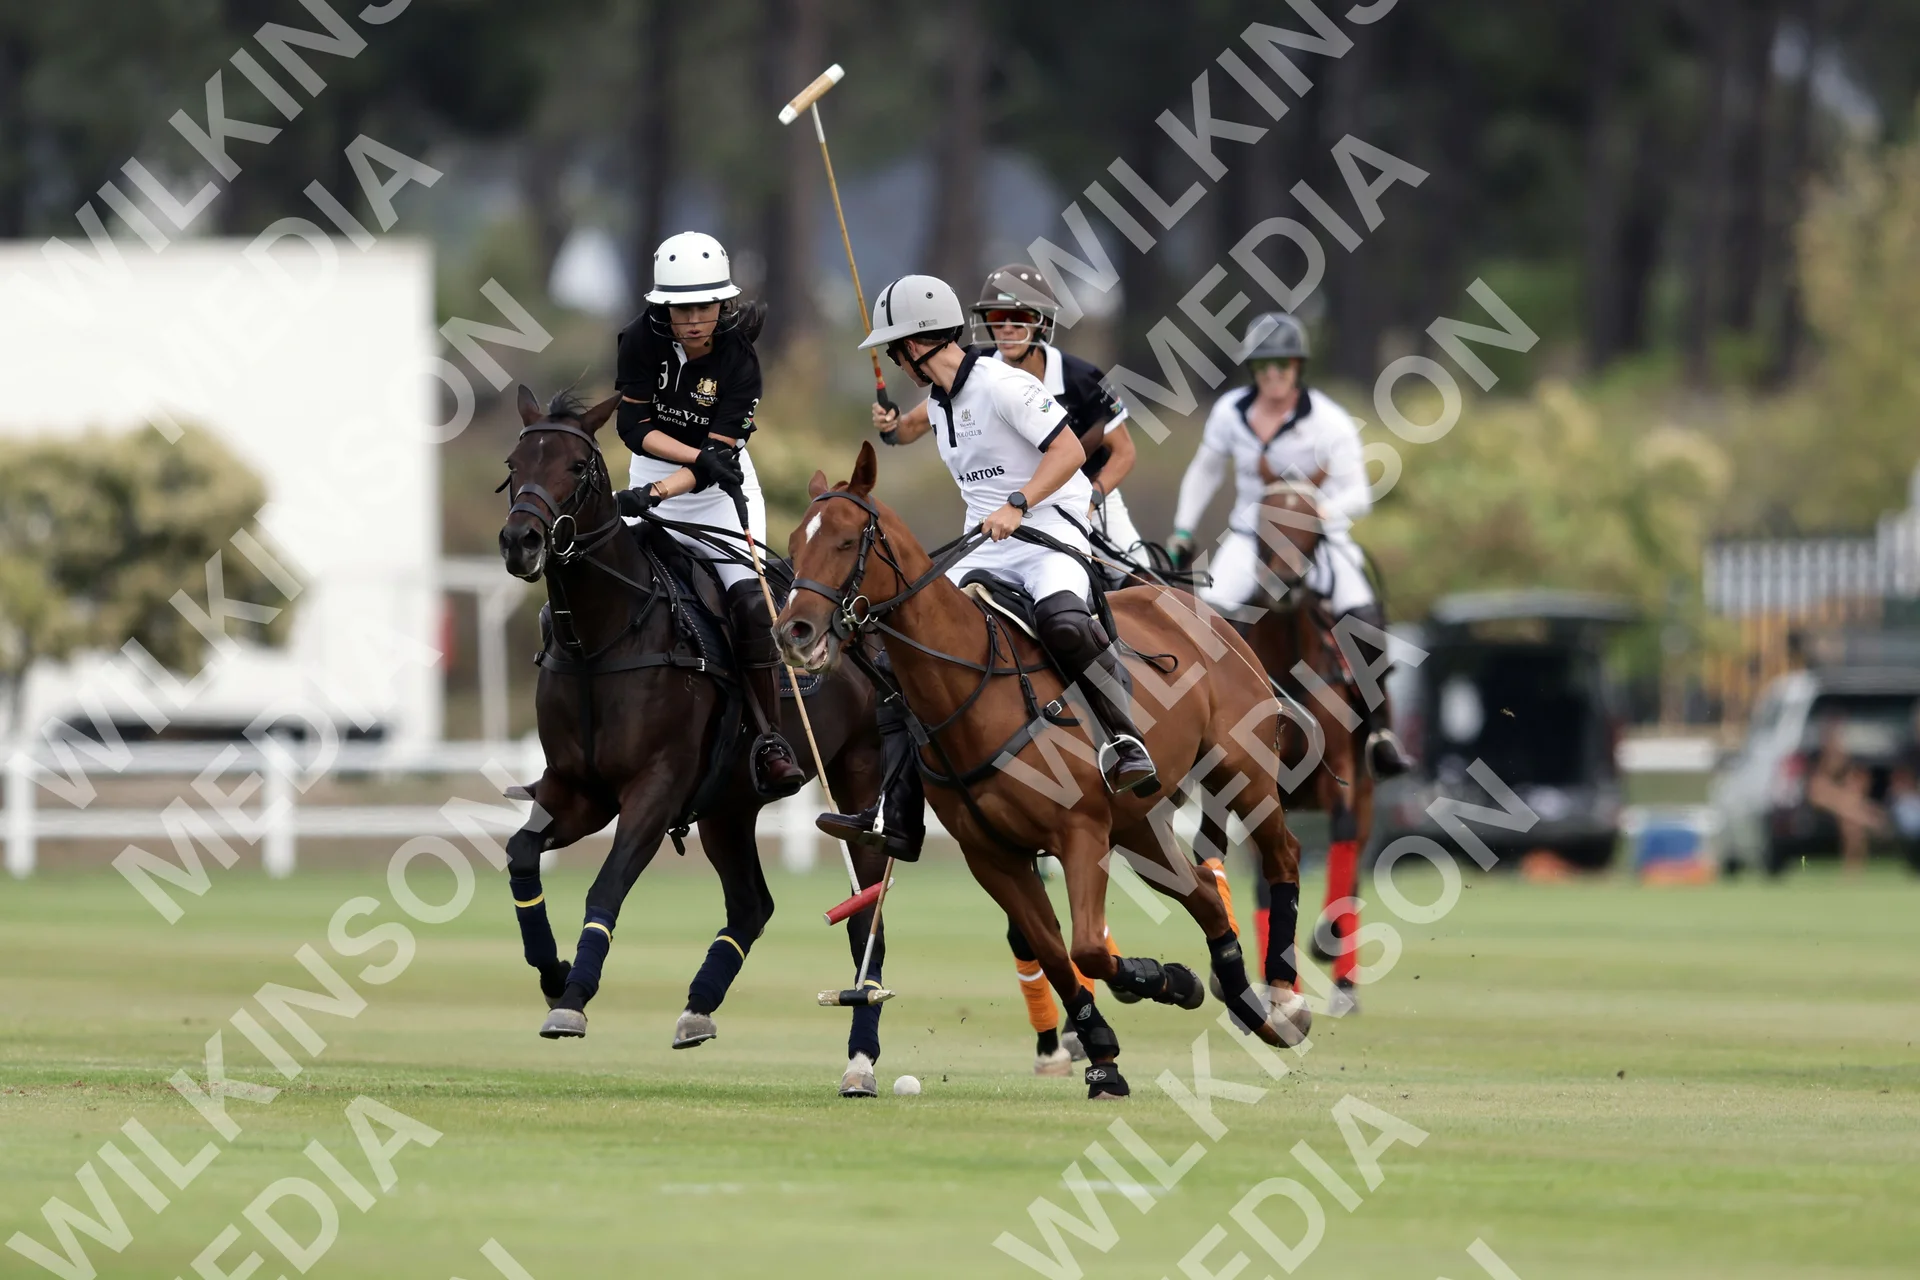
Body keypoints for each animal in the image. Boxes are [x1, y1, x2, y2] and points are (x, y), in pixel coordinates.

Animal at [494, 386, 892, 1088]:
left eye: (578, 465)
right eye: (516, 464)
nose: (521, 540)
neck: (601, 641)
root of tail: (860, 629)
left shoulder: (654, 788)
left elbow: (607, 884)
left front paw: (573, 1000)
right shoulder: (577, 791)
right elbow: (520, 855)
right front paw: (554, 973)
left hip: (858, 780)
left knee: (864, 915)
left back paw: (861, 1060)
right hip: (728, 808)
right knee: (752, 904)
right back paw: (698, 1008)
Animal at [773, 442, 1312, 1101]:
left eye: (848, 541)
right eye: (795, 543)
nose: (794, 632)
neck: (971, 686)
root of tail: (1186, 602)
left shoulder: (1078, 833)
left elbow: (1086, 946)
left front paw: (1151, 983)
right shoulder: (993, 856)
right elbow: (1058, 953)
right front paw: (1116, 1042)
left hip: (1242, 771)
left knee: (1282, 854)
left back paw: (1285, 999)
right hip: (1140, 828)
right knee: (1205, 893)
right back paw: (1242, 1002)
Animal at [1196, 458, 1374, 1012]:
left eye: (1314, 526)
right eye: (1264, 519)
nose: (1288, 581)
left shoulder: (1341, 769)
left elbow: (1340, 838)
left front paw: (1325, 940)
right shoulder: (1253, 779)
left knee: (1353, 855)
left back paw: (1341, 979)